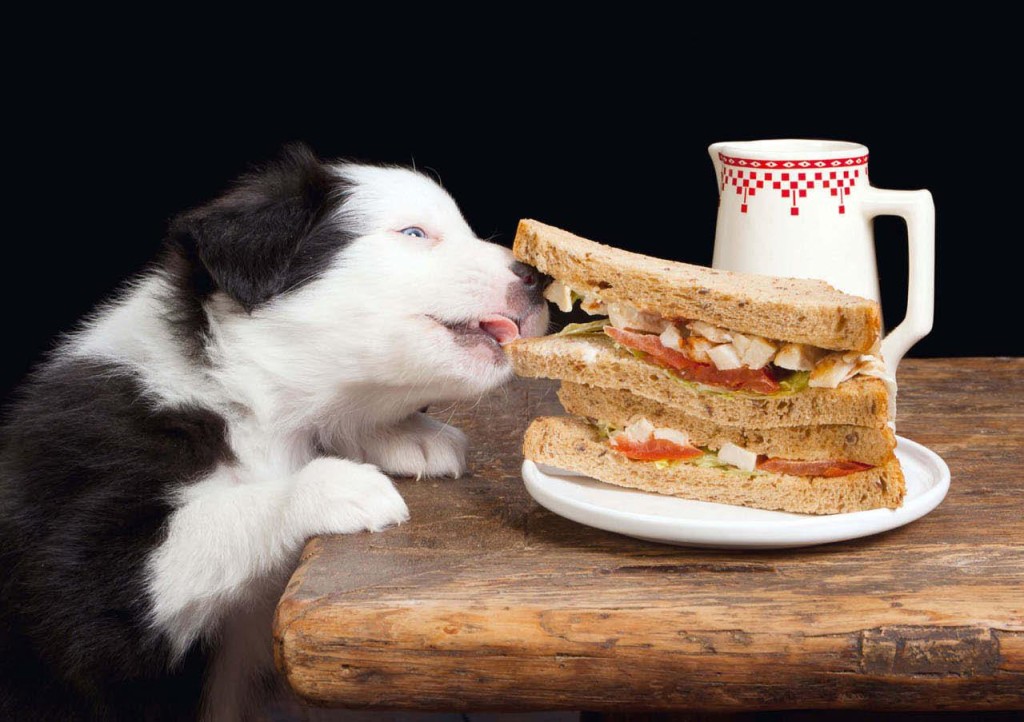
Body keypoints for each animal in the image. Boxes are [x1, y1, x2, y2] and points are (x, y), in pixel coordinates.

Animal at [0, 142, 552, 720]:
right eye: (414, 234)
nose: (536, 276)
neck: (248, 401)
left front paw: (406, 434)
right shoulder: (77, 564)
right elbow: (213, 521)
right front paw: (333, 485)